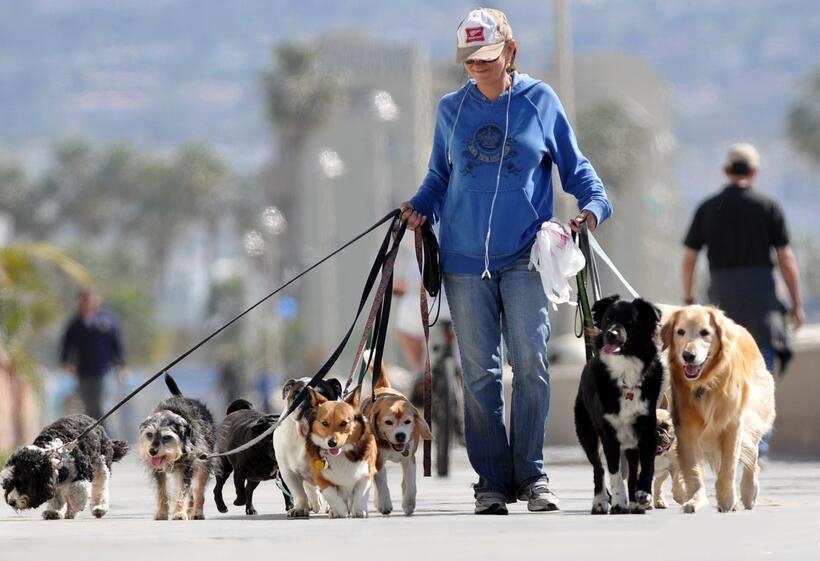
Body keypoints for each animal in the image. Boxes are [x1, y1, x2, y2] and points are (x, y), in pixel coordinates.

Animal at [141, 374, 218, 520]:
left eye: (166, 437)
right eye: (149, 434)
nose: (152, 451)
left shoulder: (187, 467)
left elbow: (183, 491)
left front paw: (179, 513)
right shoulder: (158, 471)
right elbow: (162, 491)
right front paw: (162, 513)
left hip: (203, 462)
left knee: (199, 489)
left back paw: (197, 512)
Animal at [211, 374, 342, 516]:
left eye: (323, 394)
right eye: (297, 395)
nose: (309, 400)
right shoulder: (284, 472)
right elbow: (298, 492)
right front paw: (300, 508)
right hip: (225, 467)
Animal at [362, 366, 432, 516]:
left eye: (408, 421)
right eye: (388, 422)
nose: (401, 435)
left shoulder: (409, 459)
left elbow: (411, 485)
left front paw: (409, 504)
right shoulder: (378, 461)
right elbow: (382, 484)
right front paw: (385, 505)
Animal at [572, 296, 664, 516]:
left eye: (630, 322)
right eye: (608, 319)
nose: (610, 334)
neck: (625, 369)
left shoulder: (647, 430)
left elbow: (646, 467)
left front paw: (643, 495)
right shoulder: (608, 434)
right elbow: (613, 471)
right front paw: (619, 502)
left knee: (632, 468)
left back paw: (636, 502)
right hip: (586, 432)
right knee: (598, 468)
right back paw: (599, 501)